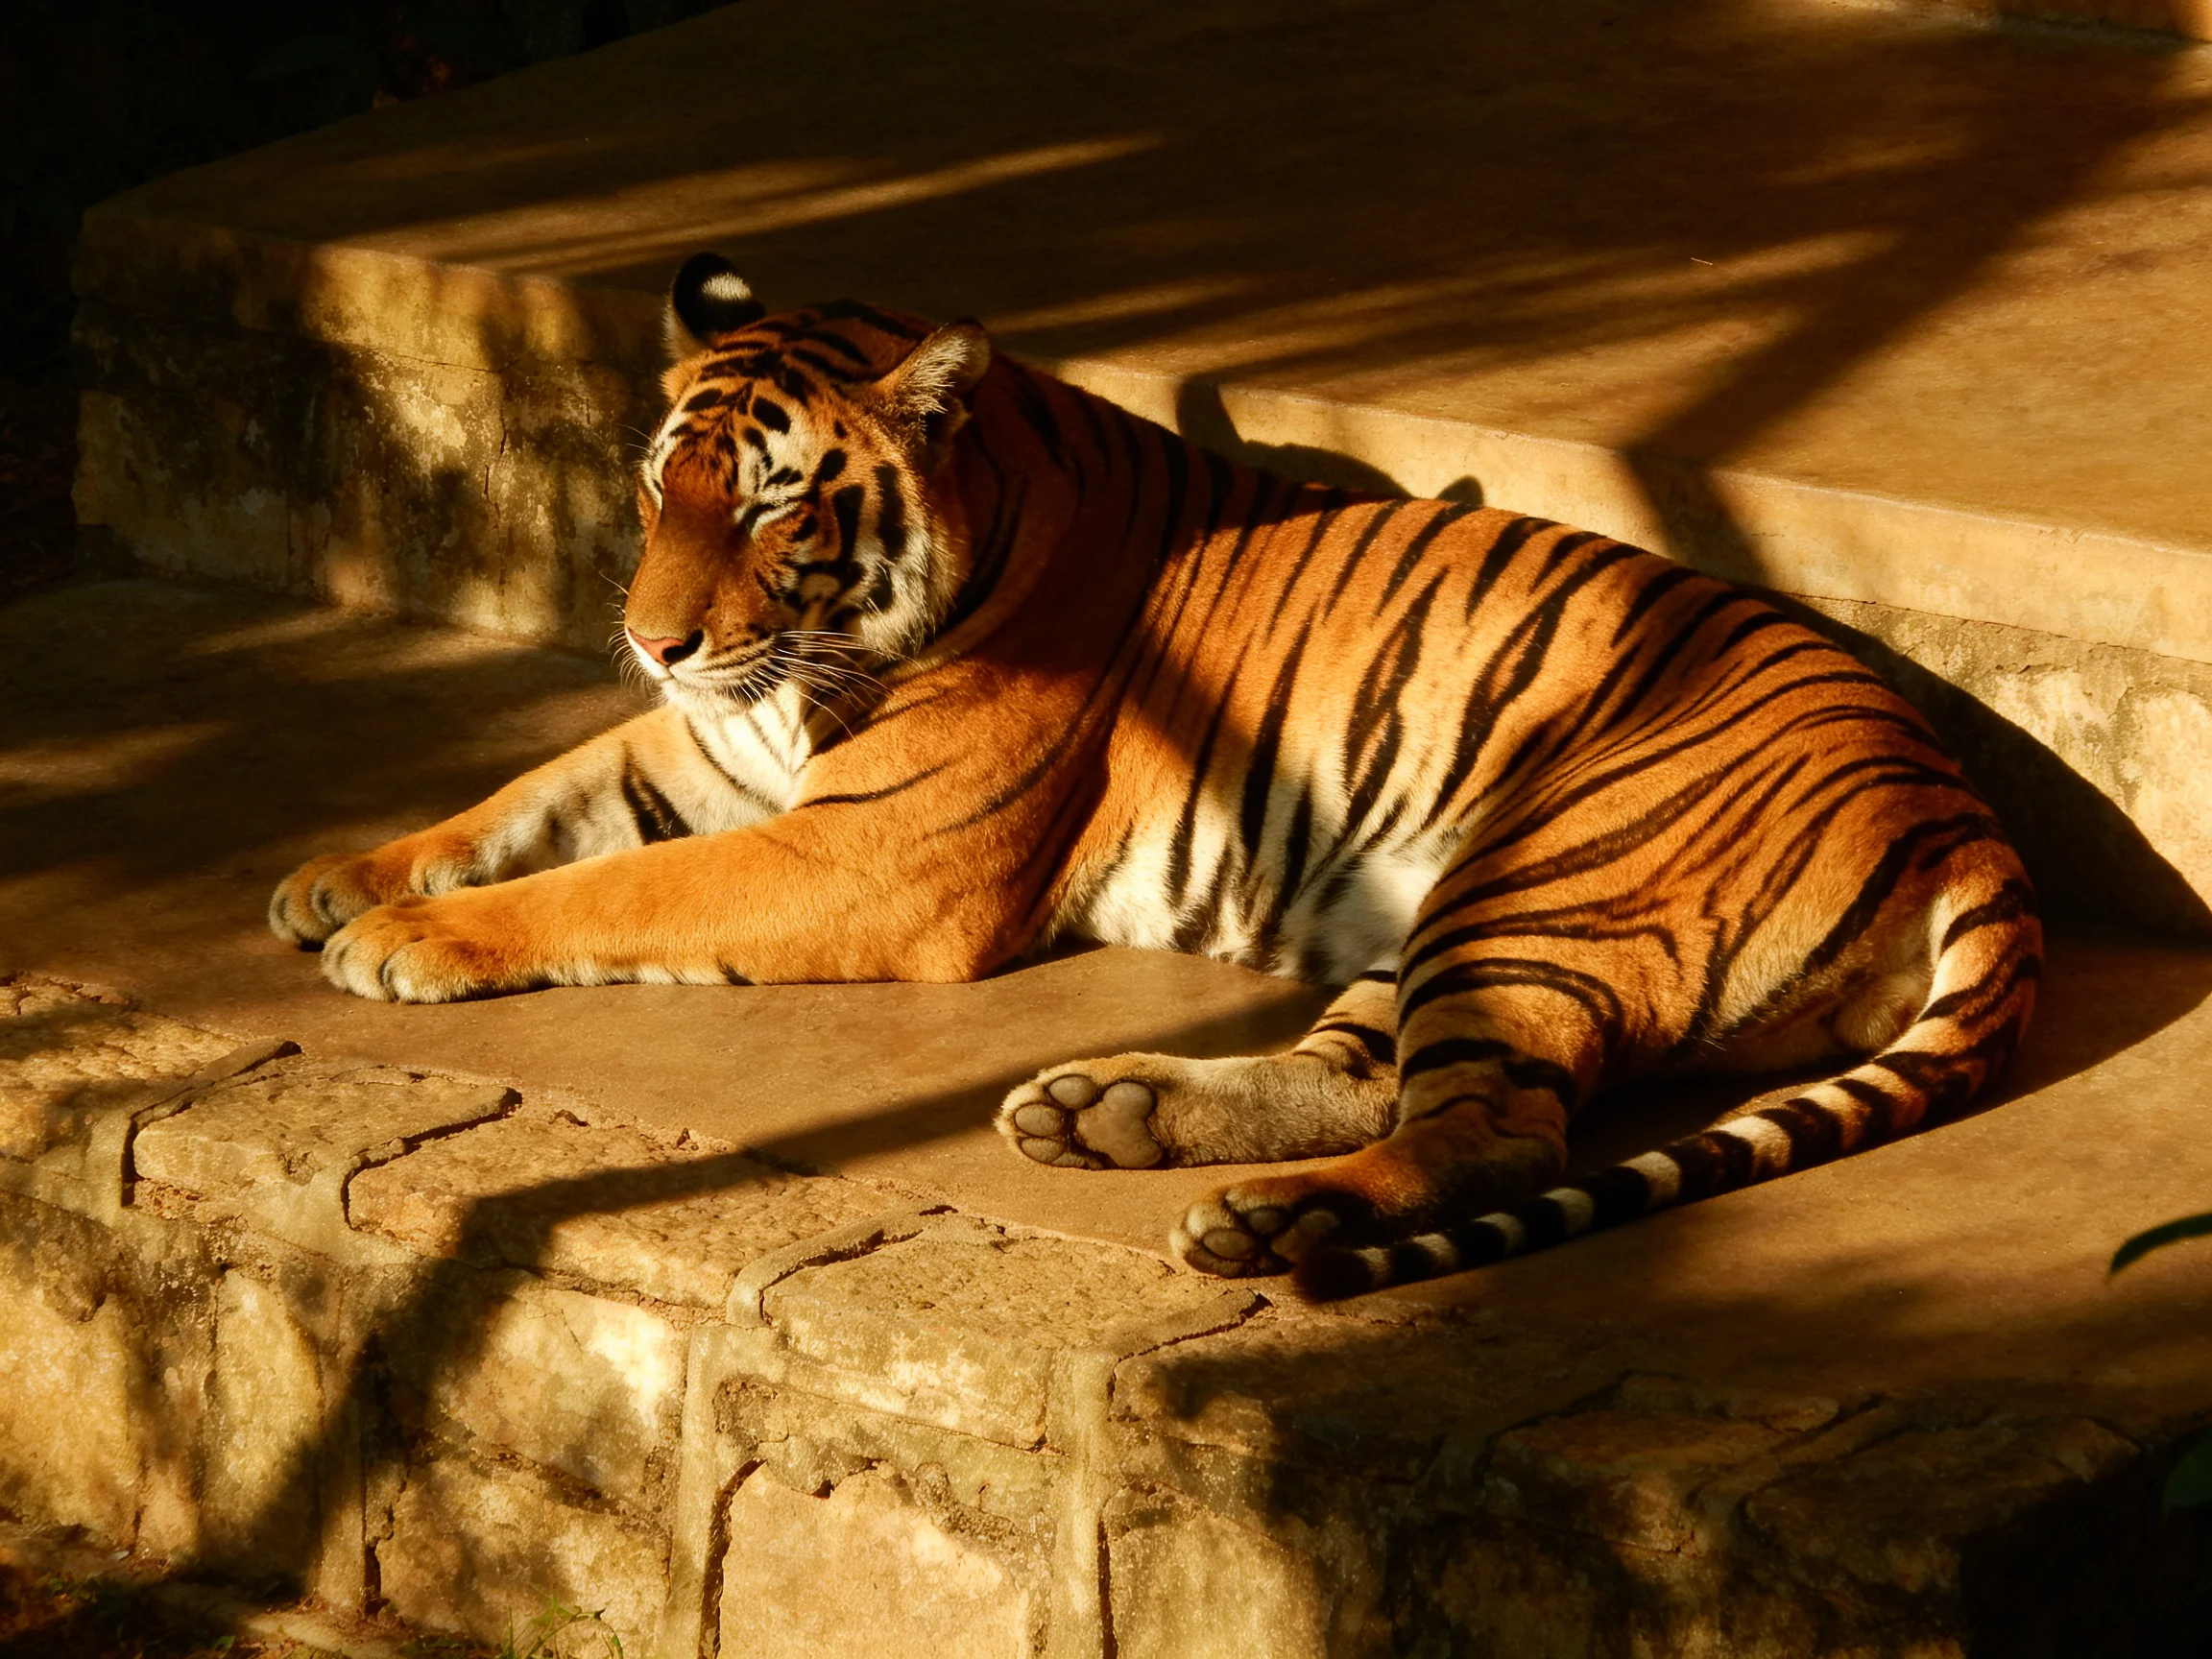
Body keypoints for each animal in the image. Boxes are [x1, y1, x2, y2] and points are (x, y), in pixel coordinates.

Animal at [268, 251, 2041, 1299]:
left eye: (773, 505)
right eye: (662, 490)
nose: (653, 637)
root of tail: (1960, 811)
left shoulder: (864, 851)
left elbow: (615, 880)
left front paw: (409, 941)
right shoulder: (717, 743)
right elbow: (537, 796)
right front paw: (334, 880)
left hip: (1542, 870)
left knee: (1498, 1131)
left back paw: (1269, 1220)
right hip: (1454, 910)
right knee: (1375, 1074)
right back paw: (1120, 1120)